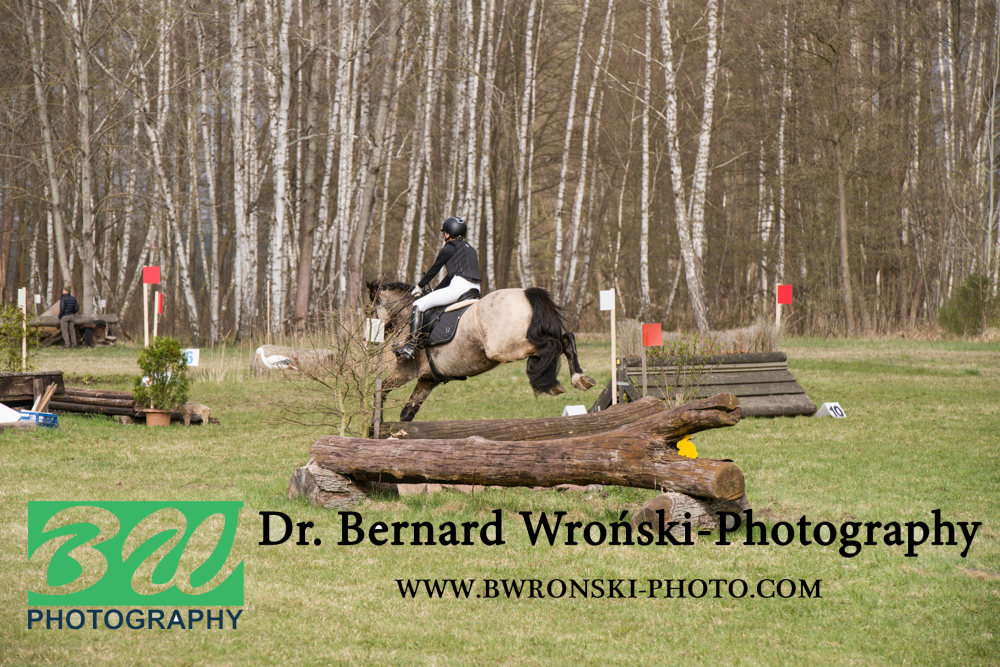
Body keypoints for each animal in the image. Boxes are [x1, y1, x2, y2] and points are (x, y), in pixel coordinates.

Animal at [367, 281, 597, 422]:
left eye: (369, 310)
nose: (374, 341)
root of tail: (526, 293)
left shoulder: (406, 370)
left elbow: (380, 392)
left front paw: (374, 426)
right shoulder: (427, 379)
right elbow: (407, 413)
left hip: (505, 349)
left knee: (551, 346)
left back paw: (555, 382)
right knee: (566, 339)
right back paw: (579, 378)